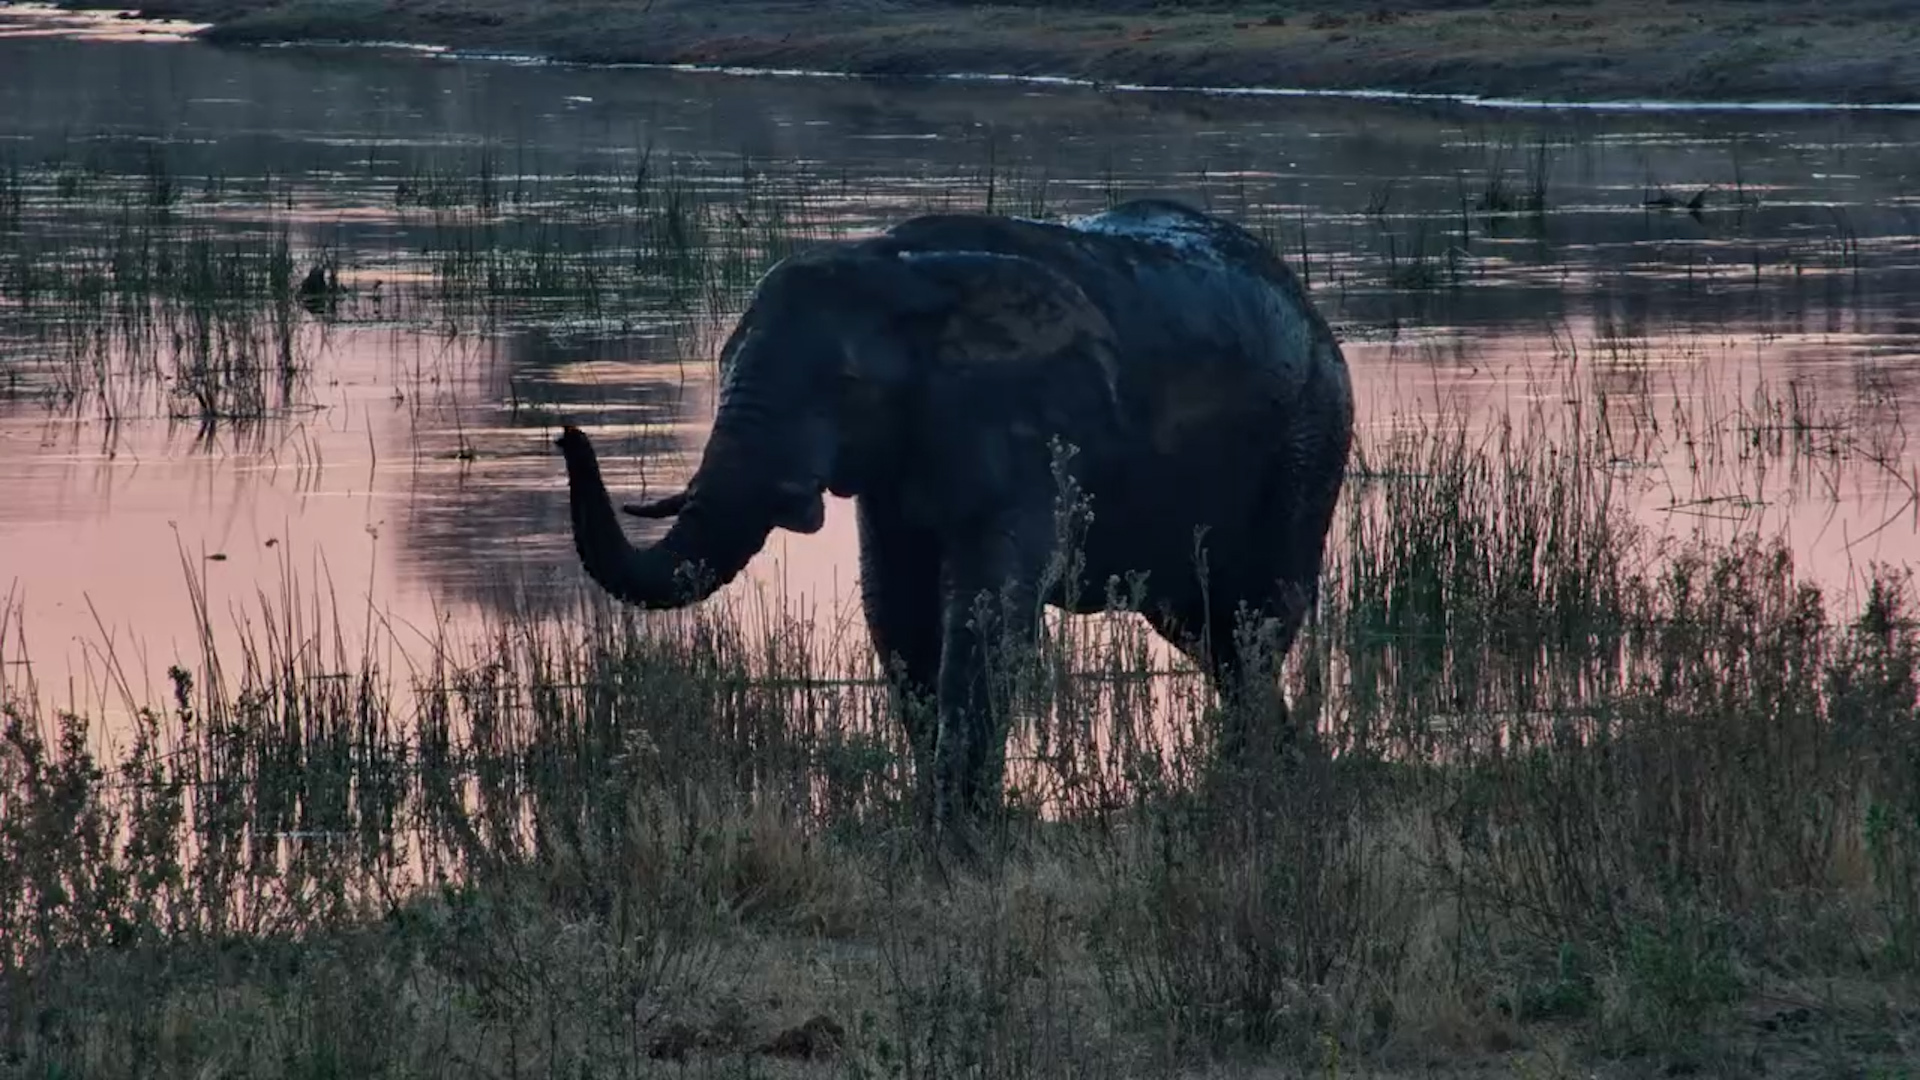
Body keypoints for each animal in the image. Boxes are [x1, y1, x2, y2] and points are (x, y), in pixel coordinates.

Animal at [556, 197, 1355, 838]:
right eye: (721, 366)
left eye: (845, 385)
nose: (566, 434)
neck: (899, 273)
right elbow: (898, 613)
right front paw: (939, 823)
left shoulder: (1033, 430)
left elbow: (985, 615)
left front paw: (961, 833)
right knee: (1207, 632)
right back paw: (1273, 774)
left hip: (1309, 440)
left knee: (1254, 622)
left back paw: (1255, 788)